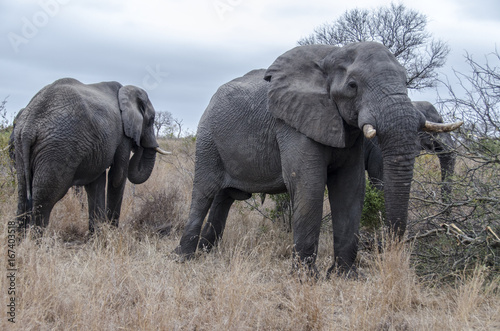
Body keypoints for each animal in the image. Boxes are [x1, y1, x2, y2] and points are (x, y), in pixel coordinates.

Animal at [13, 78, 170, 235]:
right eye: (151, 120)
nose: (139, 144)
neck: (125, 91)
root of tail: (29, 127)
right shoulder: (122, 135)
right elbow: (117, 177)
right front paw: (111, 231)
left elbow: (96, 183)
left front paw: (97, 234)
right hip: (57, 149)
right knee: (45, 200)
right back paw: (36, 239)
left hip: (20, 146)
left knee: (22, 197)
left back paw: (20, 239)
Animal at [175, 42, 460, 278]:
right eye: (353, 85)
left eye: (406, 81)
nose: (386, 249)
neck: (332, 55)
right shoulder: (293, 122)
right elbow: (308, 184)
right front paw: (304, 279)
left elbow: (350, 187)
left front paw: (345, 277)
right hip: (208, 138)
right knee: (204, 192)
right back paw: (183, 258)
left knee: (225, 197)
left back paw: (207, 252)